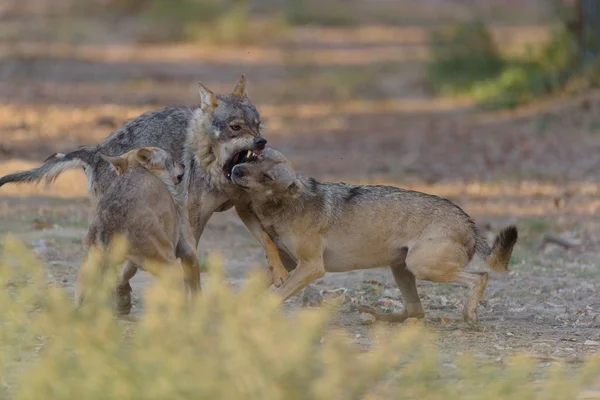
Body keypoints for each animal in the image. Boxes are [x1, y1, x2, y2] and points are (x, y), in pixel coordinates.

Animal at [75, 147, 199, 316]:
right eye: (171, 160)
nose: (183, 164)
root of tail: (108, 225)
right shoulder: (189, 250)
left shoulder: (130, 263)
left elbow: (122, 277)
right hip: (171, 266)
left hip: (88, 269)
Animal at [231, 148, 520, 324]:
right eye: (253, 158)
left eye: (267, 176)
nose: (235, 171)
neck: (285, 205)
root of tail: (468, 221)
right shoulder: (288, 262)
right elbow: (254, 288)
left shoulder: (312, 267)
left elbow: (274, 296)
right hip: (402, 268)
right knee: (415, 311)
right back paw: (375, 315)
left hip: (421, 266)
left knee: (480, 277)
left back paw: (469, 315)